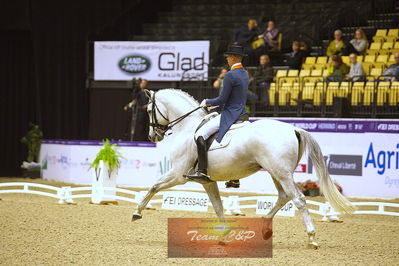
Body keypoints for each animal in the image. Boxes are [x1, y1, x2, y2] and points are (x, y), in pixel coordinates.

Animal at [134, 88, 356, 248]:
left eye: (149, 110)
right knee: (283, 197)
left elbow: (154, 186)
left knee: (299, 200)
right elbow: (218, 206)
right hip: (276, 172)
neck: (188, 127)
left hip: (281, 173)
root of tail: (294, 128)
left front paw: (137, 212)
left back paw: (311, 238)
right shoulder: (207, 181)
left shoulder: (179, 174)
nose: (152, 137)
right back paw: (265, 227)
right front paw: (224, 234)